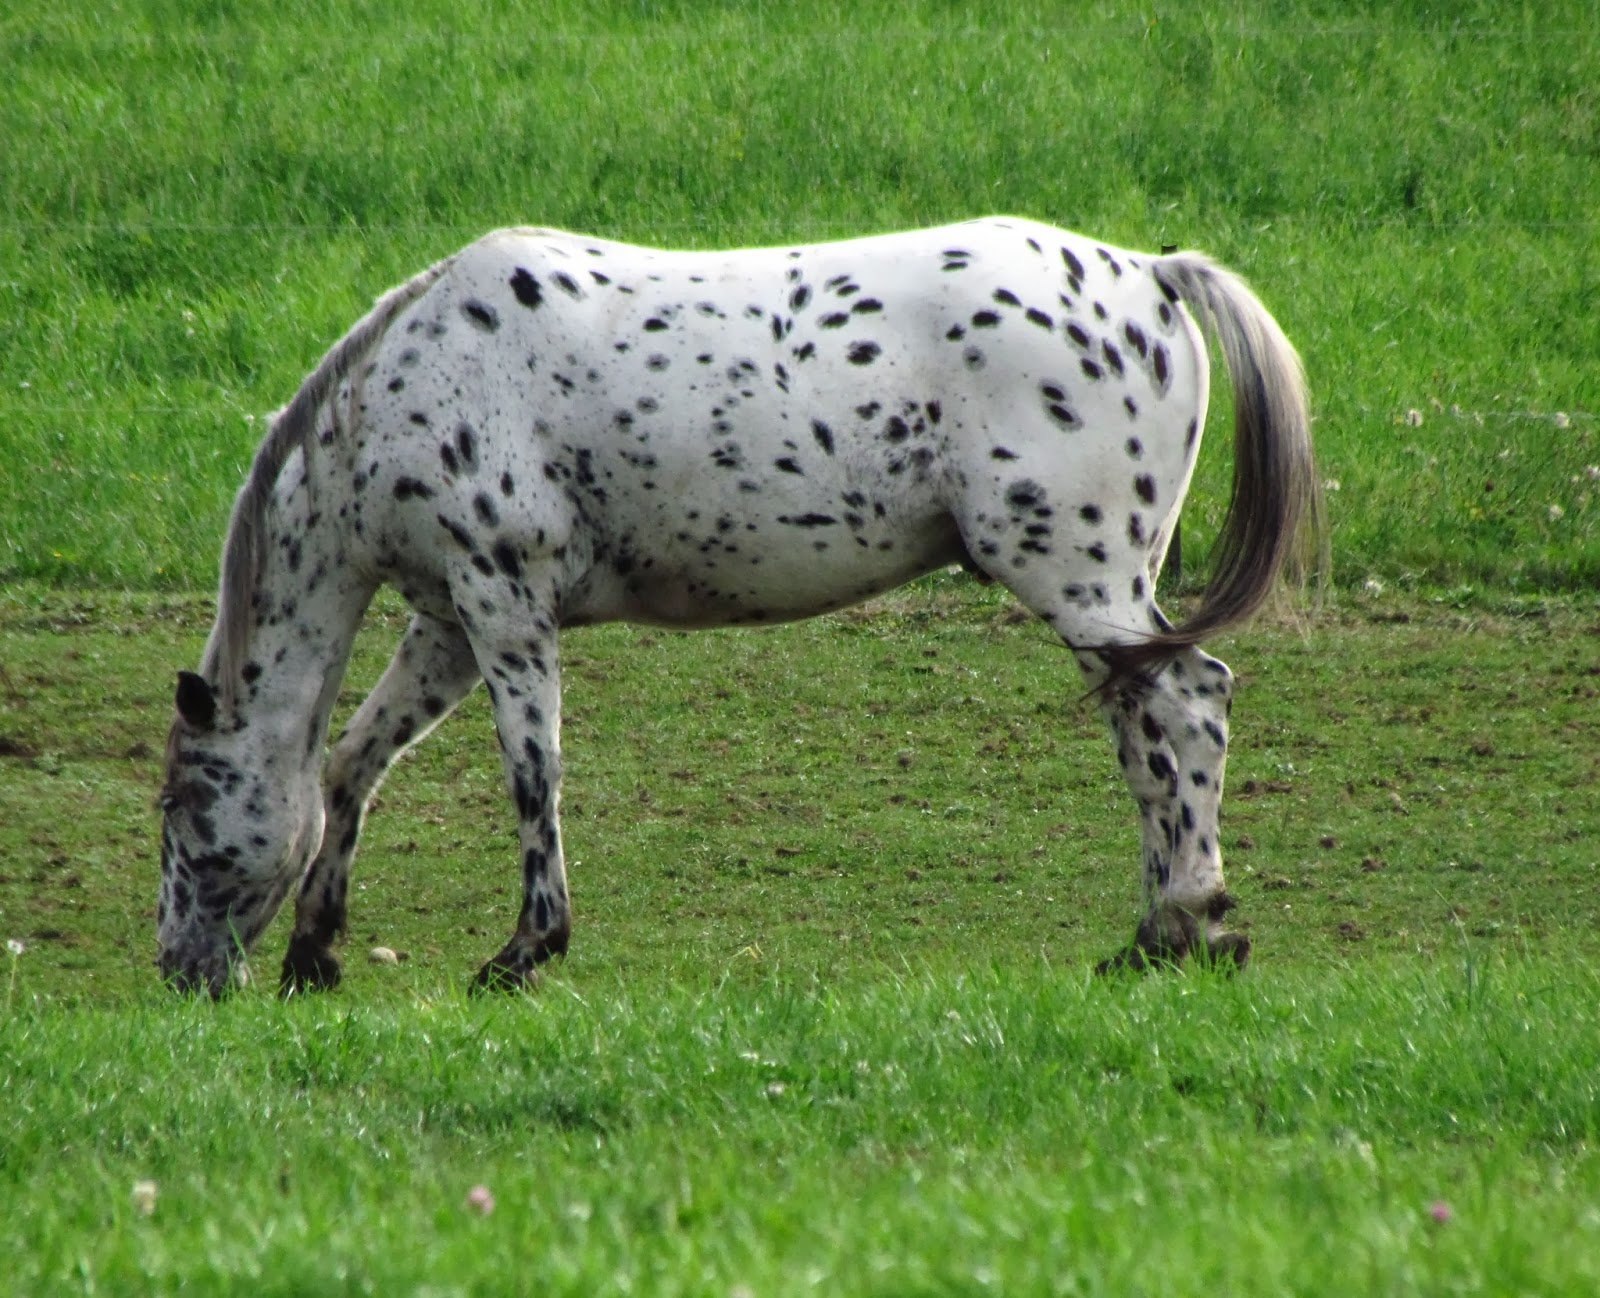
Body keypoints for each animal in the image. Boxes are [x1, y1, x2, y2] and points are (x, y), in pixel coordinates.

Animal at [156, 217, 1318, 998]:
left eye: (179, 812)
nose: (180, 972)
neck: (409, 384)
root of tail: (1153, 277)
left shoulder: (503, 602)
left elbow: (533, 775)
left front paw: (524, 952)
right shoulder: (448, 622)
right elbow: (353, 763)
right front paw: (317, 950)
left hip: (1082, 580)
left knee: (1186, 704)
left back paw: (1187, 924)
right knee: (1148, 729)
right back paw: (1160, 932)